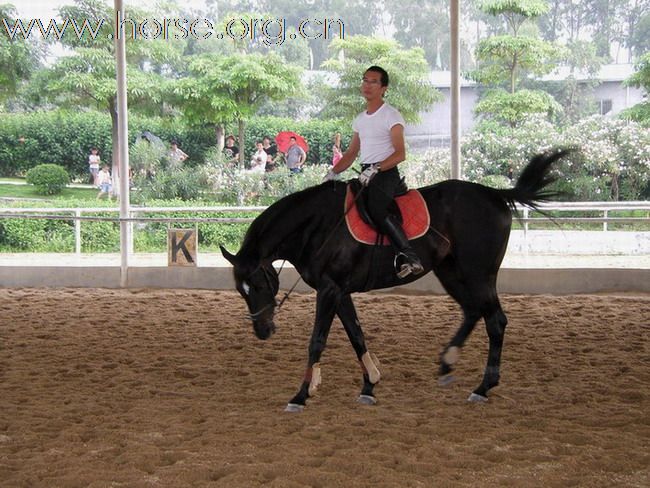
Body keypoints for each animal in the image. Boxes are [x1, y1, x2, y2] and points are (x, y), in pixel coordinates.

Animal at [220, 150, 564, 412]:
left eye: (260, 286)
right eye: (241, 291)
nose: (263, 331)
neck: (317, 225)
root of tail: (495, 194)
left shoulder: (330, 290)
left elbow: (317, 340)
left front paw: (301, 395)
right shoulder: (338, 290)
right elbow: (356, 335)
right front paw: (369, 385)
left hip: (479, 273)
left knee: (495, 320)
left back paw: (483, 386)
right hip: (450, 272)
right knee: (472, 311)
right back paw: (447, 363)